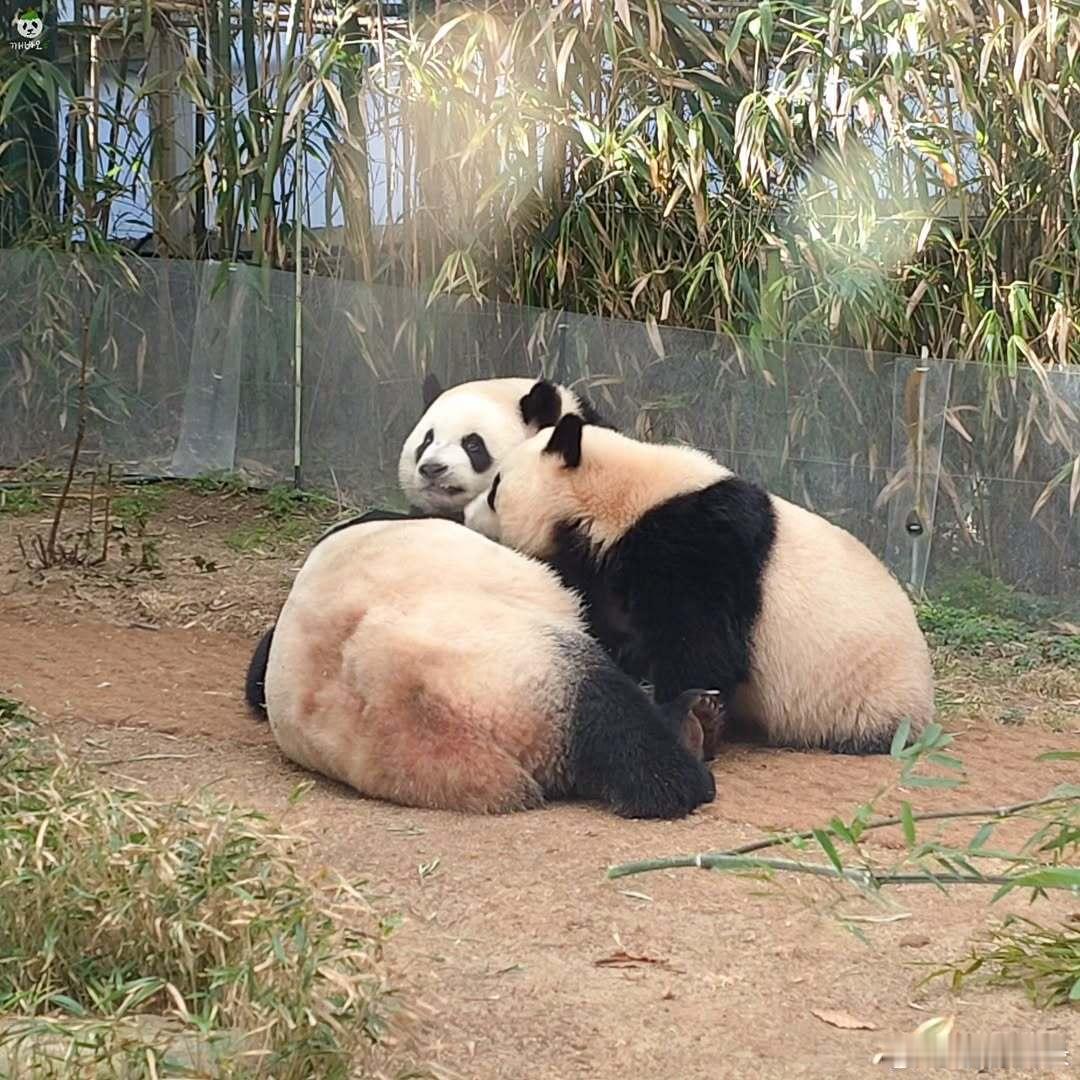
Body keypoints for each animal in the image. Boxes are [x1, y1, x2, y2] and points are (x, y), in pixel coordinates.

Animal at [466, 412, 937, 760]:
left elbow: (702, 643)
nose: (467, 516)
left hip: (867, 692)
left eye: (495, 488)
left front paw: (690, 717)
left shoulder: (698, 544)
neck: (622, 500)